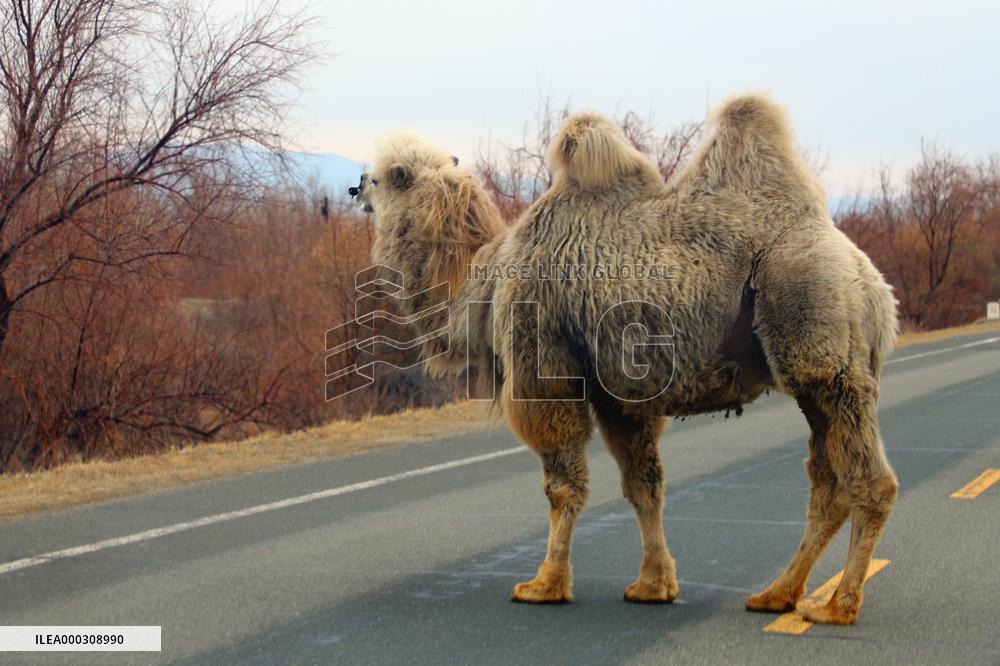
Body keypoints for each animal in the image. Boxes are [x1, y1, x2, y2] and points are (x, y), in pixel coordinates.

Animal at [354, 93, 899, 625]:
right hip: (819, 369)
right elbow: (643, 485)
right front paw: (653, 586)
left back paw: (837, 604)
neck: (481, 280)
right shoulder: (618, 394)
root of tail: (871, 283)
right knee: (827, 483)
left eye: (381, 175)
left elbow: (563, 486)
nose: (354, 189)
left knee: (869, 480)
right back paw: (777, 594)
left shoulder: (544, 363)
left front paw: (543, 585)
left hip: (817, 332)